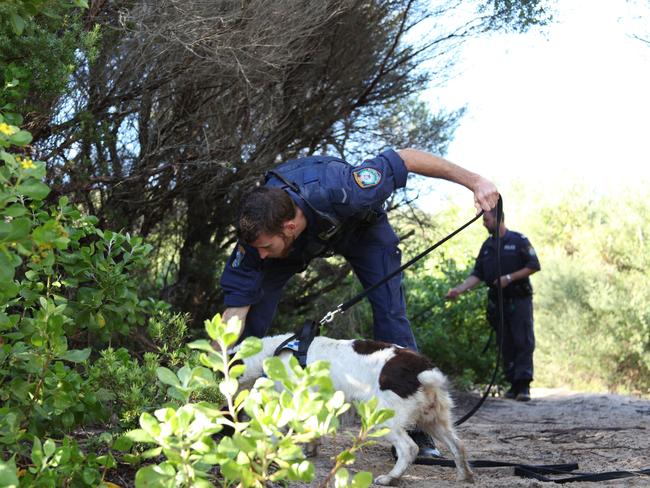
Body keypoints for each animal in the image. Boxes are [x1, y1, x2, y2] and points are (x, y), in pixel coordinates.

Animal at [238, 334, 470, 486]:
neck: (272, 354)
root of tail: (422, 370)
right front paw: (310, 450)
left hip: (384, 419)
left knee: (409, 448)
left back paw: (390, 478)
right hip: (434, 419)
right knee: (458, 445)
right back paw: (465, 476)